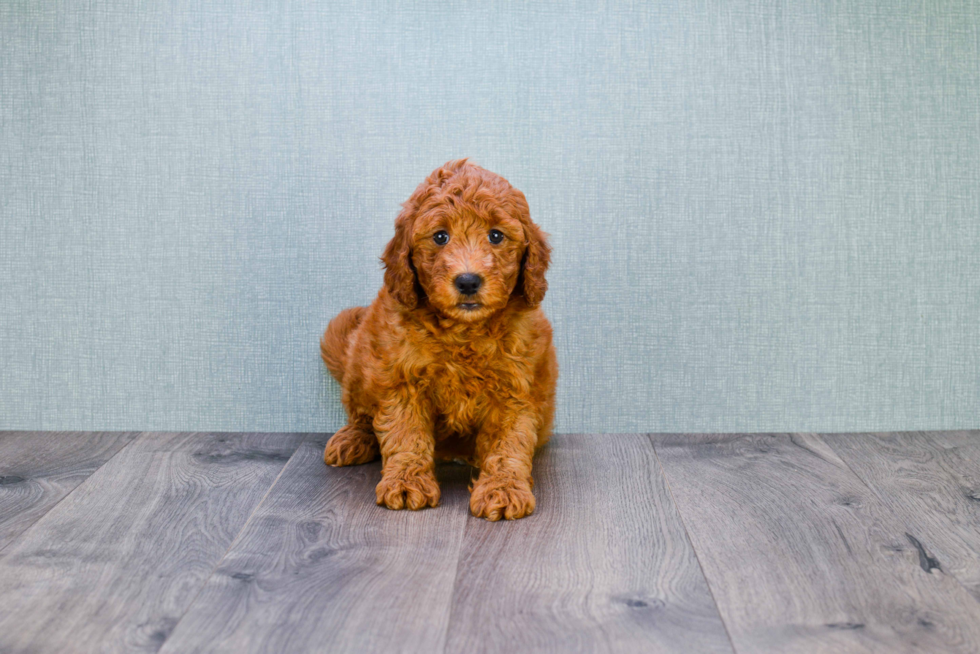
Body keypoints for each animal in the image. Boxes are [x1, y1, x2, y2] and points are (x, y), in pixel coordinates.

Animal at [320, 160, 556, 524]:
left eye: (496, 235)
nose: (468, 281)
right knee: (360, 414)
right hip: (360, 363)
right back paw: (352, 439)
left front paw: (502, 488)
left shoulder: (517, 390)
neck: (463, 332)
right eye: (440, 236)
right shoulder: (401, 381)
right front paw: (406, 481)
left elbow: (508, 444)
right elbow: (406, 434)